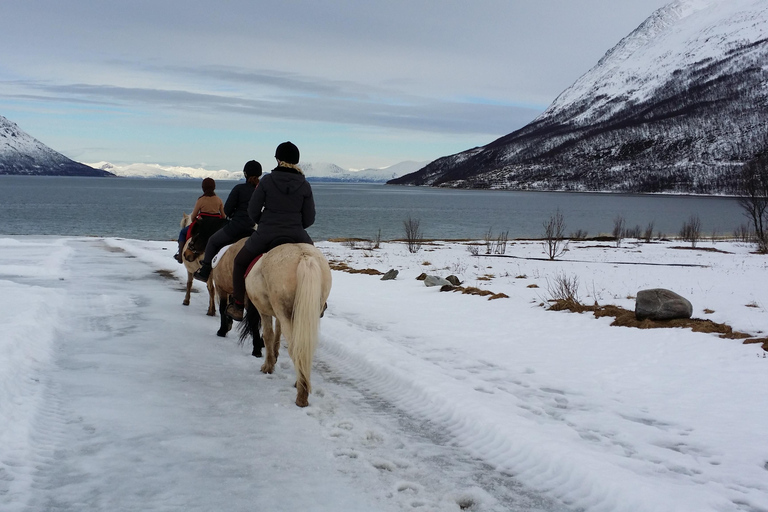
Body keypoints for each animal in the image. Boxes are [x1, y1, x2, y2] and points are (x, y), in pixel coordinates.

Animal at [240, 244, 330, 408]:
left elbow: (268, 335)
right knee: (304, 349)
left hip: (285, 314)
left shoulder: (264, 312)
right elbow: (277, 332)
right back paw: (300, 382)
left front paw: (268, 366)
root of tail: (304, 257)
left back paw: (301, 396)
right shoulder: (279, 316)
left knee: (296, 349)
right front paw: (274, 356)